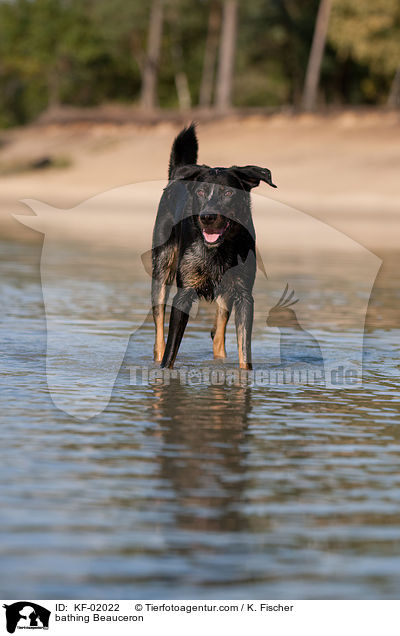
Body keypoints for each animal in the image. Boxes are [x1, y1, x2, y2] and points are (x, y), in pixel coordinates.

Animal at [150, 123, 276, 368]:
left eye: (228, 192)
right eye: (200, 192)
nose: (207, 217)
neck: (218, 249)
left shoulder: (244, 295)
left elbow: (244, 352)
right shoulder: (184, 293)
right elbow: (170, 353)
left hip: (226, 292)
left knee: (218, 335)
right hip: (161, 268)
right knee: (159, 325)